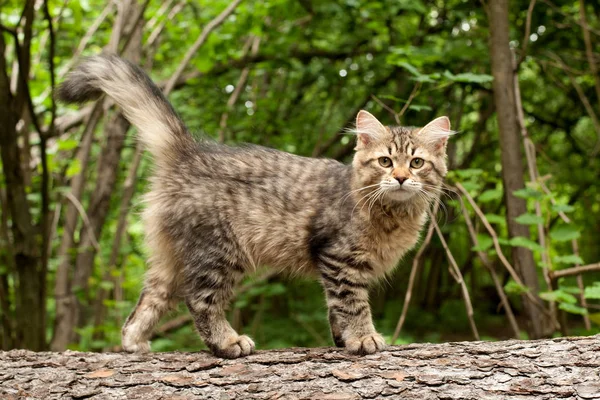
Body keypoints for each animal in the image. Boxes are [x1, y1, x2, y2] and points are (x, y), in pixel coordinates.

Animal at [58, 54, 452, 360]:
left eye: (416, 163)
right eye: (385, 162)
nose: (400, 178)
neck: (393, 215)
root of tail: (191, 152)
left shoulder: (341, 265)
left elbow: (333, 308)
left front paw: (343, 339)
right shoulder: (339, 259)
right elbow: (351, 303)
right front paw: (364, 337)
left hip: (170, 258)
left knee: (148, 301)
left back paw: (135, 342)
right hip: (219, 252)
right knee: (199, 301)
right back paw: (227, 342)